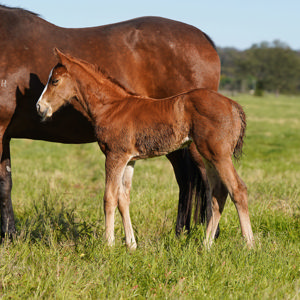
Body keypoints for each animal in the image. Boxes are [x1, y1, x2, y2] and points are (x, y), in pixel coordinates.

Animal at [0, 5, 220, 237]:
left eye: (55, 80)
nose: (39, 107)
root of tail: (203, 38)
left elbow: (3, 184)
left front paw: (8, 237)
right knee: (186, 179)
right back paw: (181, 232)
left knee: (209, 179)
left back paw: (210, 233)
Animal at [36, 50, 254, 250]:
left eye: (54, 80)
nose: (39, 107)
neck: (111, 107)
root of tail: (234, 106)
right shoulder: (129, 159)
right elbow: (123, 199)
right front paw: (131, 244)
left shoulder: (114, 155)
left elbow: (109, 197)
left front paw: (108, 244)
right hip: (209, 156)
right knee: (219, 194)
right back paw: (206, 245)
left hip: (219, 155)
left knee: (238, 189)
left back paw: (250, 245)